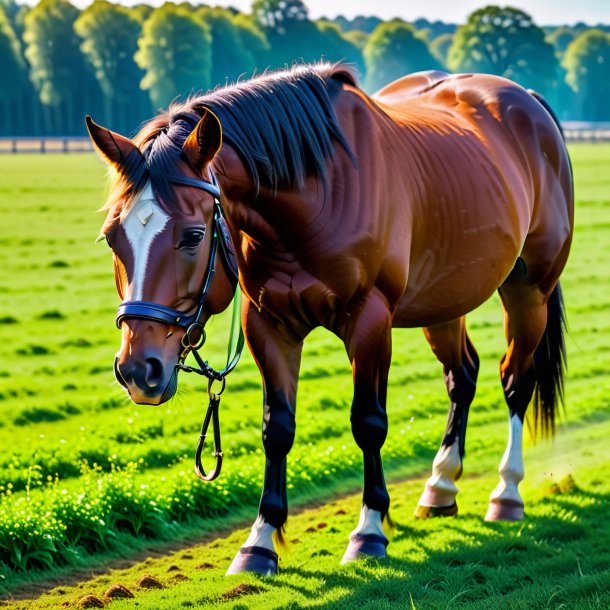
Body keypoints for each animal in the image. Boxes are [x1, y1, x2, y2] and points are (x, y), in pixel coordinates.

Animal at [84, 63, 568, 576]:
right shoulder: (268, 326)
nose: (137, 370)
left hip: (528, 290)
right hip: (443, 300)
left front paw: (369, 532)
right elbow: (276, 429)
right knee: (463, 377)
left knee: (515, 381)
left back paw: (507, 491)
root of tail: (526, 101)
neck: (315, 195)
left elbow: (368, 423)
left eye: (193, 236)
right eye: (112, 236)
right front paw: (259, 542)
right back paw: (441, 488)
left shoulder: (370, 322)